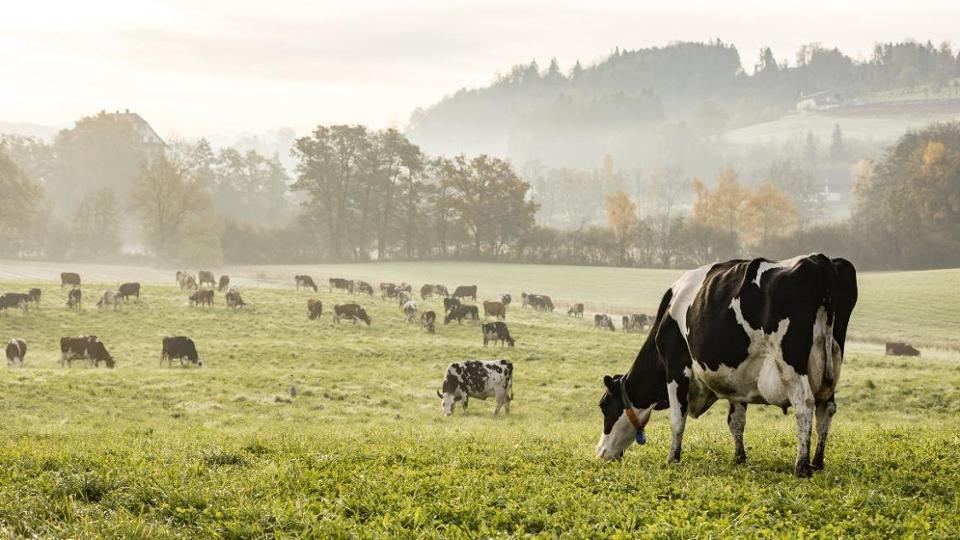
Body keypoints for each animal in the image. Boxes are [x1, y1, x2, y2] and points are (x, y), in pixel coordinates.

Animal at [596, 255, 860, 478]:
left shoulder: (675, 369)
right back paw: (817, 462)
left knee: (805, 404)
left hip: (791, 364)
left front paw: (672, 458)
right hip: (831, 366)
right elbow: (736, 421)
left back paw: (802, 466)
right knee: (826, 408)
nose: (600, 452)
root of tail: (820, 260)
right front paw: (739, 457)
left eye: (603, 406)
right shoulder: (738, 380)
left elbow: (677, 419)